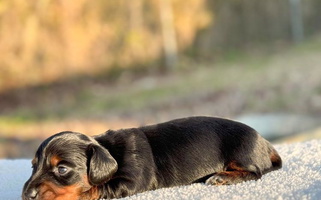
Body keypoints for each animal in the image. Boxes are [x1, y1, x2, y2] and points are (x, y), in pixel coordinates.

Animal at [21, 116, 280, 199]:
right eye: (32, 167)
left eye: (62, 169)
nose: (26, 195)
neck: (109, 150)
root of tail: (264, 142)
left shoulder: (131, 182)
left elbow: (97, 188)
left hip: (241, 151)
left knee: (255, 172)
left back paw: (222, 177)